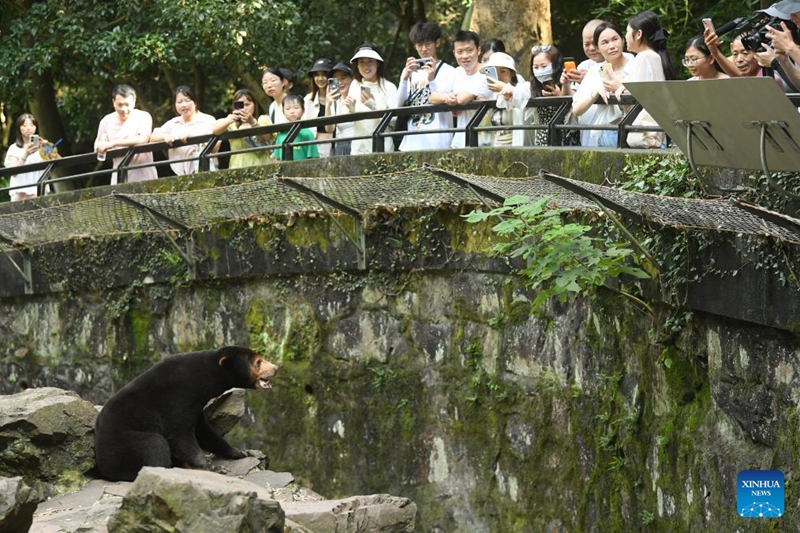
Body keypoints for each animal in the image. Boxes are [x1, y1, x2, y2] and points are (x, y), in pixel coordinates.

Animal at [94, 344, 278, 482]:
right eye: (258, 362)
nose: (276, 368)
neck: (203, 379)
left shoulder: (196, 407)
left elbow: (205, 432)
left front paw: (241, 452)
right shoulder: (177, 399)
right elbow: (181, 436)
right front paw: (214, 468)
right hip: (123, 445)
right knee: (154, 445)